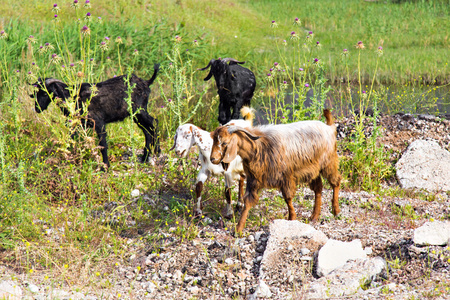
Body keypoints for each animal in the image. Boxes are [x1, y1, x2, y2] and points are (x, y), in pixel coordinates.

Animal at [30, 63, 160, 169]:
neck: (72, 97)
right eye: (36, 92)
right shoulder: (77, 124)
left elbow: (103, 144)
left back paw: (157, 151)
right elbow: (72, 139)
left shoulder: (98, 122)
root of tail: (146, 82)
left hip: (140, 110)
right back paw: (145, 157)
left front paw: (105, 166)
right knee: (147, 131)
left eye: (45, 93)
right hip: (136, 115)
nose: (37, 108)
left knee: (154, 122)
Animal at [211, 109, 342, 233]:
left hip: (328, 163)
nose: (213, 159)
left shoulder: (286, 177)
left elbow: (288, 198)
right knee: (318, 188)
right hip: (313, 170)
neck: (259, 146)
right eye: (214, 141)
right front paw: (238, 229)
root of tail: (329, 127)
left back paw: (336, 210)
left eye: (225, 143)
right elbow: (247, 201)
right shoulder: (254, 180)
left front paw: (292, 218)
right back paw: (314, 216)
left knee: (336, 182)